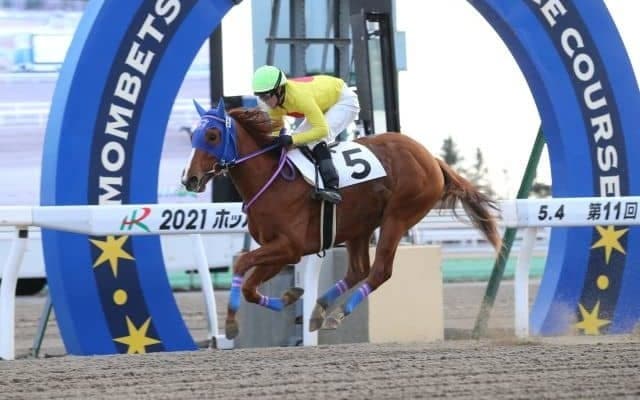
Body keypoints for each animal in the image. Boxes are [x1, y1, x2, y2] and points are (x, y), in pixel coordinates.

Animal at [181, 99, 501, 340]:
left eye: (212, 136)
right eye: (193, 136)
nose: (190, 178)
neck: (271, 180)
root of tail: (431, 159)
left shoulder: (289, 246)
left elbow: (241, 265)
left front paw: (231, 324)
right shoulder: (279, 251)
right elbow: (249, 286)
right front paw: (290, 297)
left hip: (397, 217)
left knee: (380, 271)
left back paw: (336, 314)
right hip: (359, 227)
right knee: (358, 270)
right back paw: (319, 309)